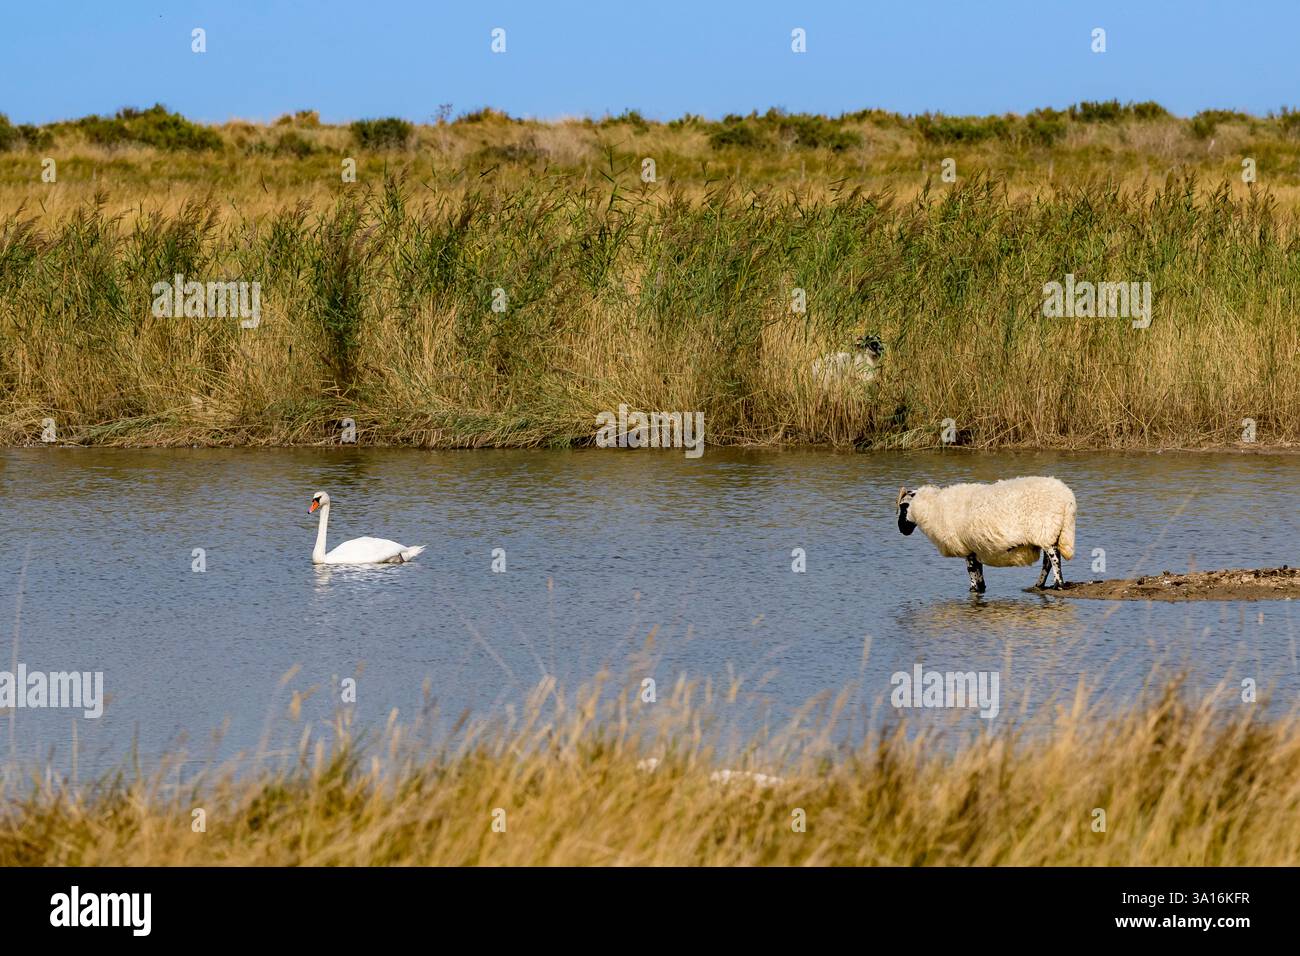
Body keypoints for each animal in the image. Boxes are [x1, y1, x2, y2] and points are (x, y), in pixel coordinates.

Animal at [895, 476, 1076, 593]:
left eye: (904, 507)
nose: (901, 529)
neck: (933, 507)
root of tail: (1067, 497)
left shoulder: (966, 548)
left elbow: (971, 572)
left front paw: (973, 589)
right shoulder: (975, 547)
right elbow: (979, 573)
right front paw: (981, 588)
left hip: (1045, 529)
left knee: (1053, 558)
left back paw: (1058, 584)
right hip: (1052, 532)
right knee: (1048, 561)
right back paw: (1039, 585)